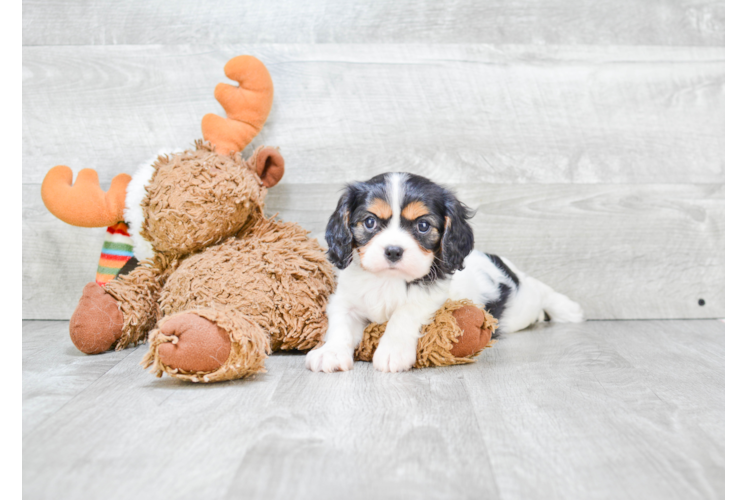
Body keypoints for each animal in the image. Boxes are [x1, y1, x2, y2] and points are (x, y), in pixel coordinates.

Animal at [306, 172, 584, 372]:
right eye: (370, 222)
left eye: (423, 225)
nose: (393, 251)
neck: (388, 281)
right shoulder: (346, 301)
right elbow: (340, 325)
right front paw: (330, 353)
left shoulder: (431, 297)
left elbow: (404, 314)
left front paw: (392, 351)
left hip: (521, 306)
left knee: (540, 291)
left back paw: (565, 308)